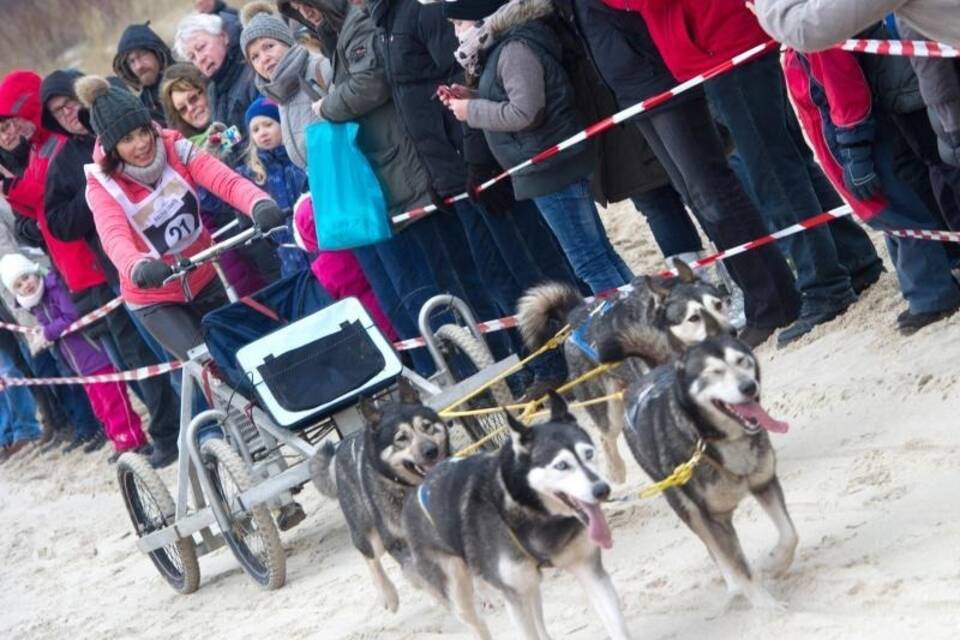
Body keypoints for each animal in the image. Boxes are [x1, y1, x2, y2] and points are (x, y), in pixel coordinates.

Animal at [312, 378, 454, 612]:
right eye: (401, 438)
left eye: (426, 426)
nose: (431, 451)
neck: (410, 487)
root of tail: (341, 448)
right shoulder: (397, 543)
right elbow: (426, 578)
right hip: (366, 531)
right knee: (370, 556)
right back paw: (388, 594)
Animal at [400, 392, 632, 636]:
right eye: (561, 465)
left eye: (588, 453)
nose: (602, 490)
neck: (530, 510)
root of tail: (416, 489)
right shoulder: (514, 597)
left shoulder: (588, 569)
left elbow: (617, 624)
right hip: (459, 594)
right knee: (478, 624)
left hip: (530, 586)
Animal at [516, 258, 736, 482]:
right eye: (693, 318)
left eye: (718, 304)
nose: (732, 332)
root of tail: (577, 317)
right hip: (608, 410)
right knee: (606, 437)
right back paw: (616, 471)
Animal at [624, 336, 796, 608]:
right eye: (715, 372)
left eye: (742, 361)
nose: (749, 386)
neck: (719, 438)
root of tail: (646, 376)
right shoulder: (711, 517)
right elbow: (738, 566)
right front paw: (767, 605)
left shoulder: (764, 483)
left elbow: (790, 535)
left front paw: (776, 564)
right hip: (687, 508)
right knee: (714, 549)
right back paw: (734, 585)